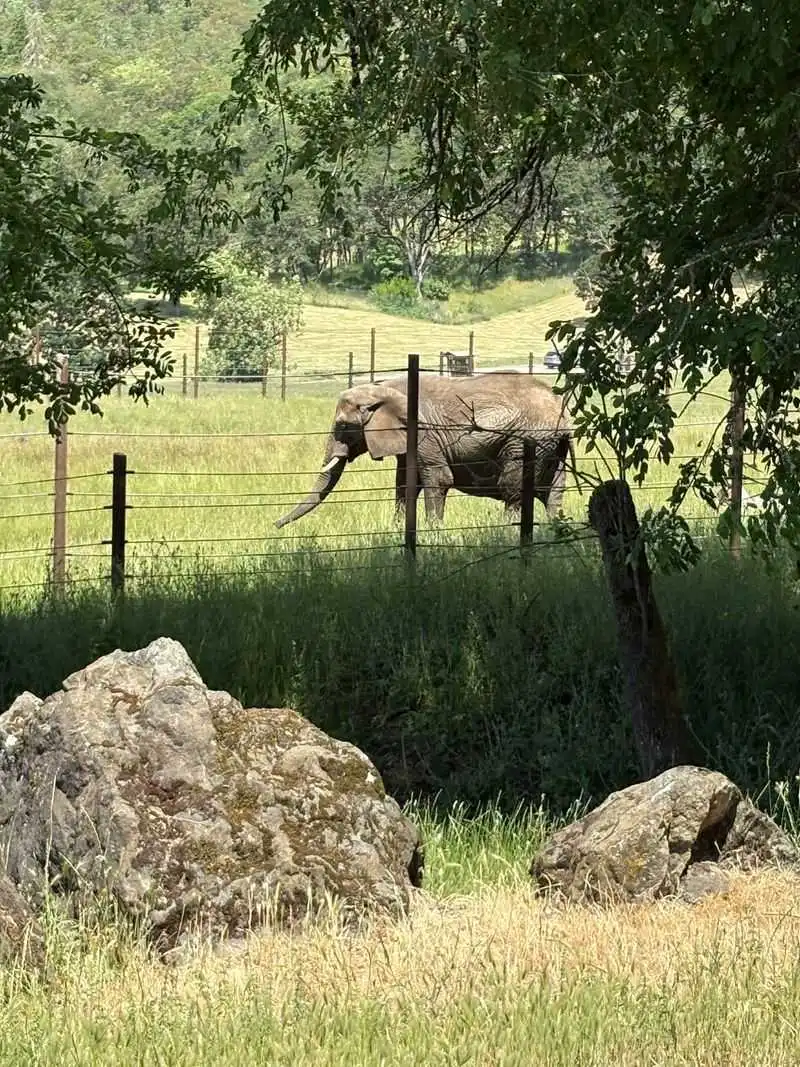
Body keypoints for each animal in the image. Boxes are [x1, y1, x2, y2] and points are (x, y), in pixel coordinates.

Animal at [275, 371, 577, 528]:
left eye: (343, 425)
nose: (276, 525)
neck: (383, 388)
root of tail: (562, 411)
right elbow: (405, 483)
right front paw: (396, 530)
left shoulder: (424, 433)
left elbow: (437, 479)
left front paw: (433, 532)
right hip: (551, 445)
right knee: (553, 491)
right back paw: (556, 528)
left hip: (525, 440)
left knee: (512, 489)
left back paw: (507, 531)